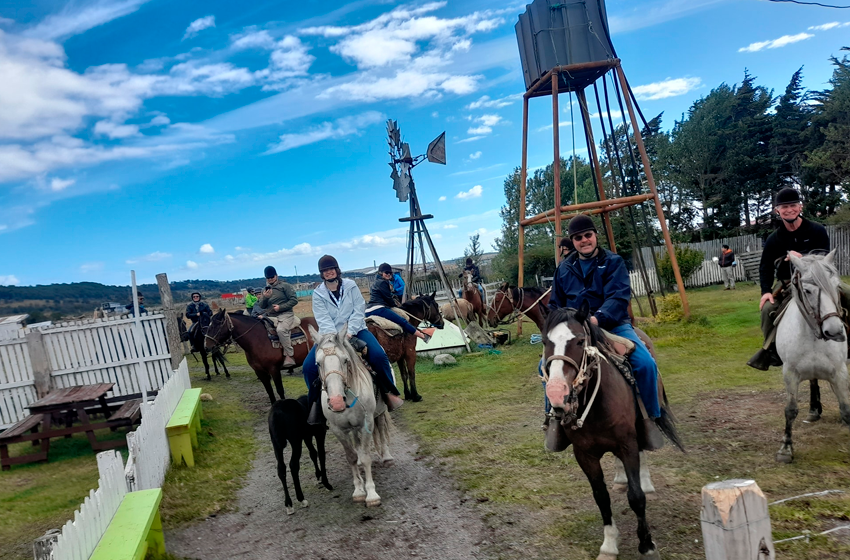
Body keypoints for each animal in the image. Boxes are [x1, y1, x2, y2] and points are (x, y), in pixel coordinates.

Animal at [308, 324, 394, 508]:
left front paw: (372, 495)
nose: (336, 402)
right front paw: (359, 491)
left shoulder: (367, 424)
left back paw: (387, 457)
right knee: (356, 442)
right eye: (317, 363)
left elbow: (367, 457)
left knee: (381, 429)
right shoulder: (338, 429)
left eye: (345, 360)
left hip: (379, 412)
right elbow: (351, 457)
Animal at [544, 302, 684, 560]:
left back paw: (645, 481)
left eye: (579, 341)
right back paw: (620, 479)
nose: (557, 394)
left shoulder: (627, 444)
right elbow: (601, 497)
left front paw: (647, 544)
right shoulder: (584, 454)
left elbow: (636, 497)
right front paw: (609, 545)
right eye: (544, 341)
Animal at [772, 253, 844, 464]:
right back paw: (813, 410)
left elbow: (846, 406)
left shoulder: (840, 371)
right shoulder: (790, 373)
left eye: (837, 286)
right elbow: (790, 410)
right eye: (807, 290)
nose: (835, 332)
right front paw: (786, 449)